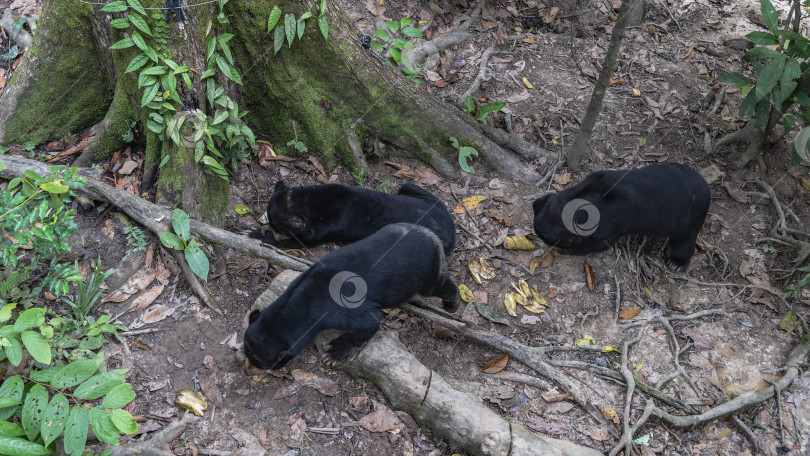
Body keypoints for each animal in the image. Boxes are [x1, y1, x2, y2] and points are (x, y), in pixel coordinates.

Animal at [238, 223, 454, 372]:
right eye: (249, 352)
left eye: (263, 364)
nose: (247, 372)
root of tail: (431, 235)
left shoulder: (340, 311)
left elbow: (370, 322)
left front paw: (334, 354)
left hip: (424, 273)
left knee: (438, 285)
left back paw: (451, 304)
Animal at [251, 181, 454, 253]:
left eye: (276, 224)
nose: (271, 226)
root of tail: (453, 230)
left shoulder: (313, 237)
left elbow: (288, 242)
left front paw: (256, 234)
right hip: (410, 187)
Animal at [532, 162, 712, 268]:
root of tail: (707, 187)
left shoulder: (611, 223)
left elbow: (597, 244)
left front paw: (566, 249)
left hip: (691, 218)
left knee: (684, 242)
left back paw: (676, 263)